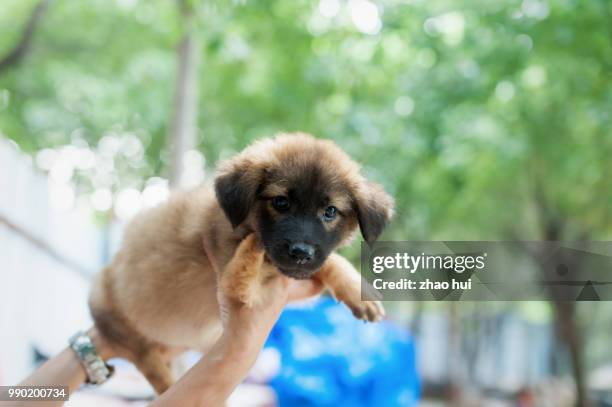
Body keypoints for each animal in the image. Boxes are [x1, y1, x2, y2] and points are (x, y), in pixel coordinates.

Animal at [88, 134, 394, 396]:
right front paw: (254, 245)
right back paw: (168, 383)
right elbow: (250, 263)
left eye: (330, 212)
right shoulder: (239, 280)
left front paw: (359, 292)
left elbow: (330, 259)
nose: (300, 252)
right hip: (107, 305)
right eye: (280, 202)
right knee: (145, 357)